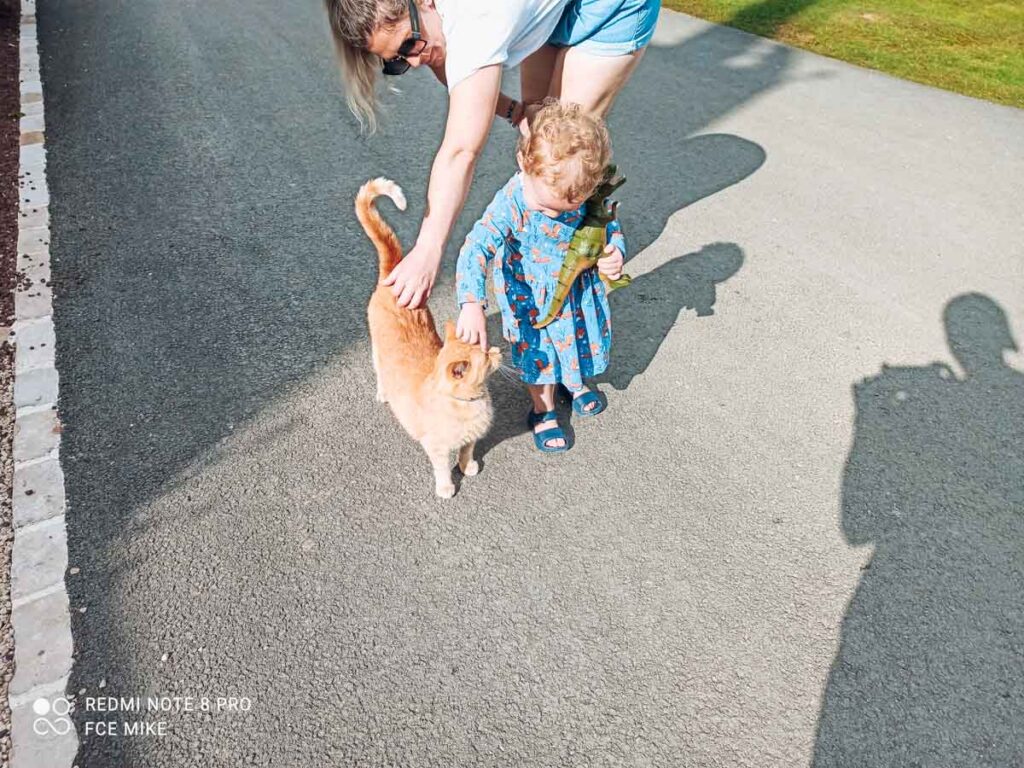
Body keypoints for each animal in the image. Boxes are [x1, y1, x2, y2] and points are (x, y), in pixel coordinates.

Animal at [358, 179, 501, 499]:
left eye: (485, 346)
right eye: (485, 356)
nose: (498, 351)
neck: (471, 404)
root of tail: (392, 274)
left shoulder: (470, 440)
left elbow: (467, 451)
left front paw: (468, 467)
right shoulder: (435, 447)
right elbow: (442, 468)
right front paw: (446, 487)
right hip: (376, 351)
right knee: (379, 371)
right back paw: (383, 393)